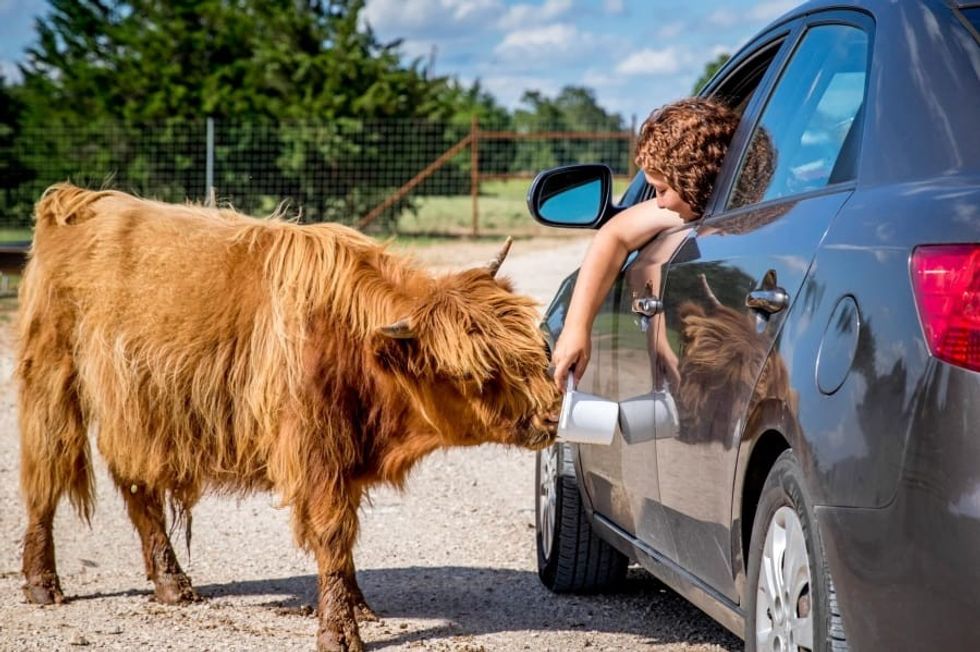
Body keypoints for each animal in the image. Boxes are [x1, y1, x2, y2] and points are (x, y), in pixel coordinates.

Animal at [16, 184, 560, 651]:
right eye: (477, 373)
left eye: (536, 345)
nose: (552, 413)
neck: (353, 342)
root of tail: (80, 198)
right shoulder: (315, 449)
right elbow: (332, 533)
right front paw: (338, 630)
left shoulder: (345, 452)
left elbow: (345, 536)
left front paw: (356, 605)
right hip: (51, 378)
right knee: (45, 474)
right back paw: (43, 583)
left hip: (138, 410)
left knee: (136, 484)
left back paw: (172, 583)